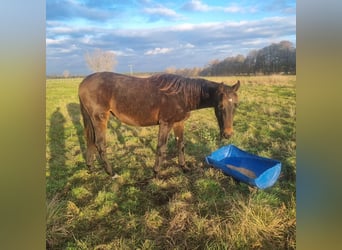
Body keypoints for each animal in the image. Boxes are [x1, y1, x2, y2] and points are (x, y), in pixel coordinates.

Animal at [79, 72, 240, 177]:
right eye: (220, 106)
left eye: (236, 105)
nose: (228, 134)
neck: (182, 95)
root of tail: (83, 83)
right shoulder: (165, 123)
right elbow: (161, 147)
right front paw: (156, 173)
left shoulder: (178, 123)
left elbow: (180, 145)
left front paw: (184, 167)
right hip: (100, 118)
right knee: (100, 144)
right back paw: (112, 173)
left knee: (90, 141)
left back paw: (91, 168)